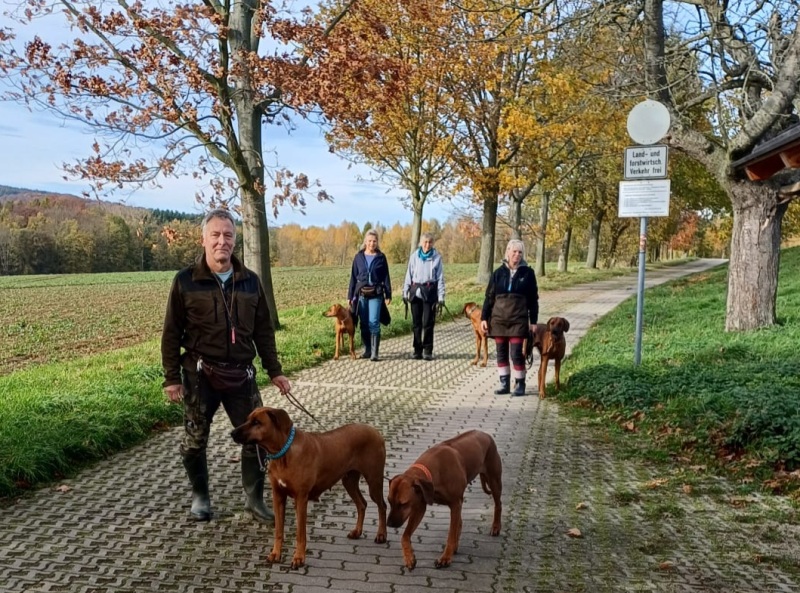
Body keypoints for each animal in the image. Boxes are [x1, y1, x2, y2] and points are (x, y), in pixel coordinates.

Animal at [231, 407, 388, 569]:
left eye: (257, 422)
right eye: (247, 419)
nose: (232, 433)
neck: (283, 453)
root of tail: (375, 431)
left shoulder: (301, 498)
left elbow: (301, 533)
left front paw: (299, 558)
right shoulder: (278, 495)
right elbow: (279, 530)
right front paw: (275, 554)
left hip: (374, 480)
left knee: (382, 505)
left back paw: (381, 535)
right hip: (349, 481)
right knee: (362, 504)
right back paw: (357, 531)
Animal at [387, 430, 502, 570]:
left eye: (403, 504)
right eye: (389, 501)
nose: (389, 524)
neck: (433, 471)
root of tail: (485, 434)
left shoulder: (455, 503)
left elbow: (450, 536)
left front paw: (445, 558)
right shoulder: (420, 504)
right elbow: (405, 536)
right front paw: (409, 558)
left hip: (494, 479)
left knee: (498, 504)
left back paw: (496, 527)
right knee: (459, 522)